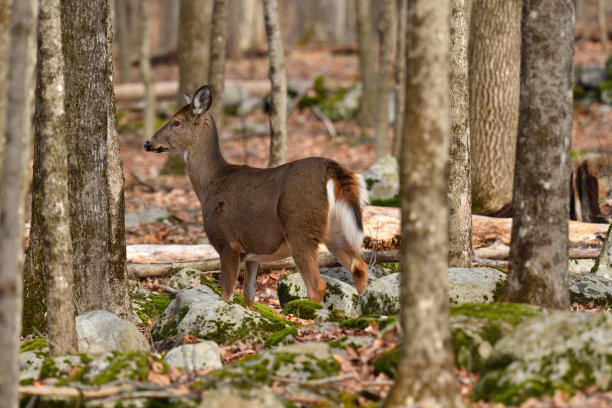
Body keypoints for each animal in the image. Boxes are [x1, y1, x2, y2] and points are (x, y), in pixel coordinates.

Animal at [146, 86, 368, 310]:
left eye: (176, 121)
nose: (148, 143)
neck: (210, 184)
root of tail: (332, 169)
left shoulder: (228, 243)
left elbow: (226, 294)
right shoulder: (252, 255)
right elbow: (249, 294)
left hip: (300, 227)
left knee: (318, 285)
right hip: (335, 229)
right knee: (359, 267)